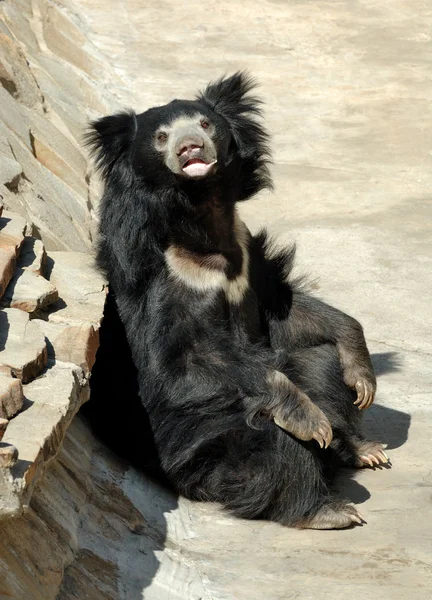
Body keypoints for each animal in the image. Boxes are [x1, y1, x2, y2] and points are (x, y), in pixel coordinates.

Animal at [86, 72, 386, 528]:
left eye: (205, 124)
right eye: (161, 136)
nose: (190, 148)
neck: (201, 217)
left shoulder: (247, 255)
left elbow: (286, 311)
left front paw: (361, 375)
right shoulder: (166, 282)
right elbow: (184, 365)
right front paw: (310, 418)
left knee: (318, 360)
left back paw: (361, 448)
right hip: (197, 451)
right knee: (271, 435)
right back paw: (325, 509)